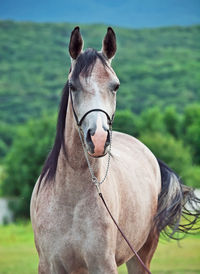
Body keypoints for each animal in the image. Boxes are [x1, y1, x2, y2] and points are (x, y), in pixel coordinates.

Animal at [30, 26, 200, 274]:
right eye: (72, 86)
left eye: (115, 86)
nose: (99, 138)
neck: (71, 200)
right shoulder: (50, 266)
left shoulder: (103, 265)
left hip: (141, 255)